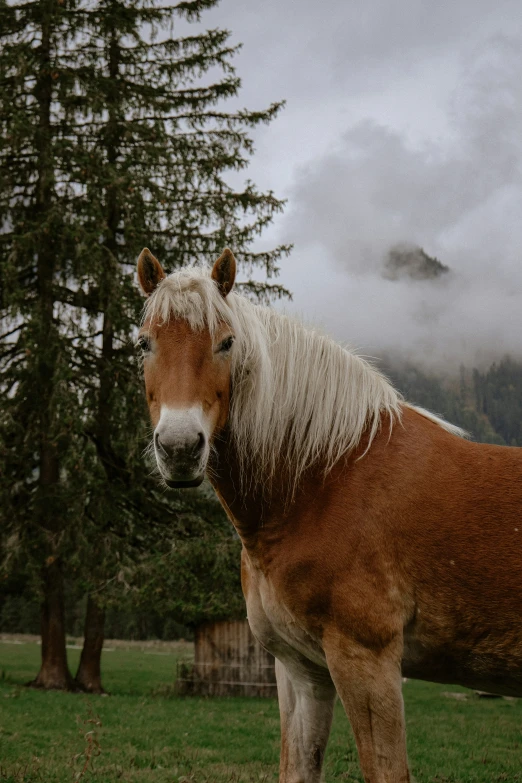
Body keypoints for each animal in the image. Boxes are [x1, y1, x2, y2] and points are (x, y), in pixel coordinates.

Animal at [135, 247, 520, 783]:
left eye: (226, 343)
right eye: (144, 343)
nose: (178, 449)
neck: (326, 480)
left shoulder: (367, 662)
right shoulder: (302, 669)